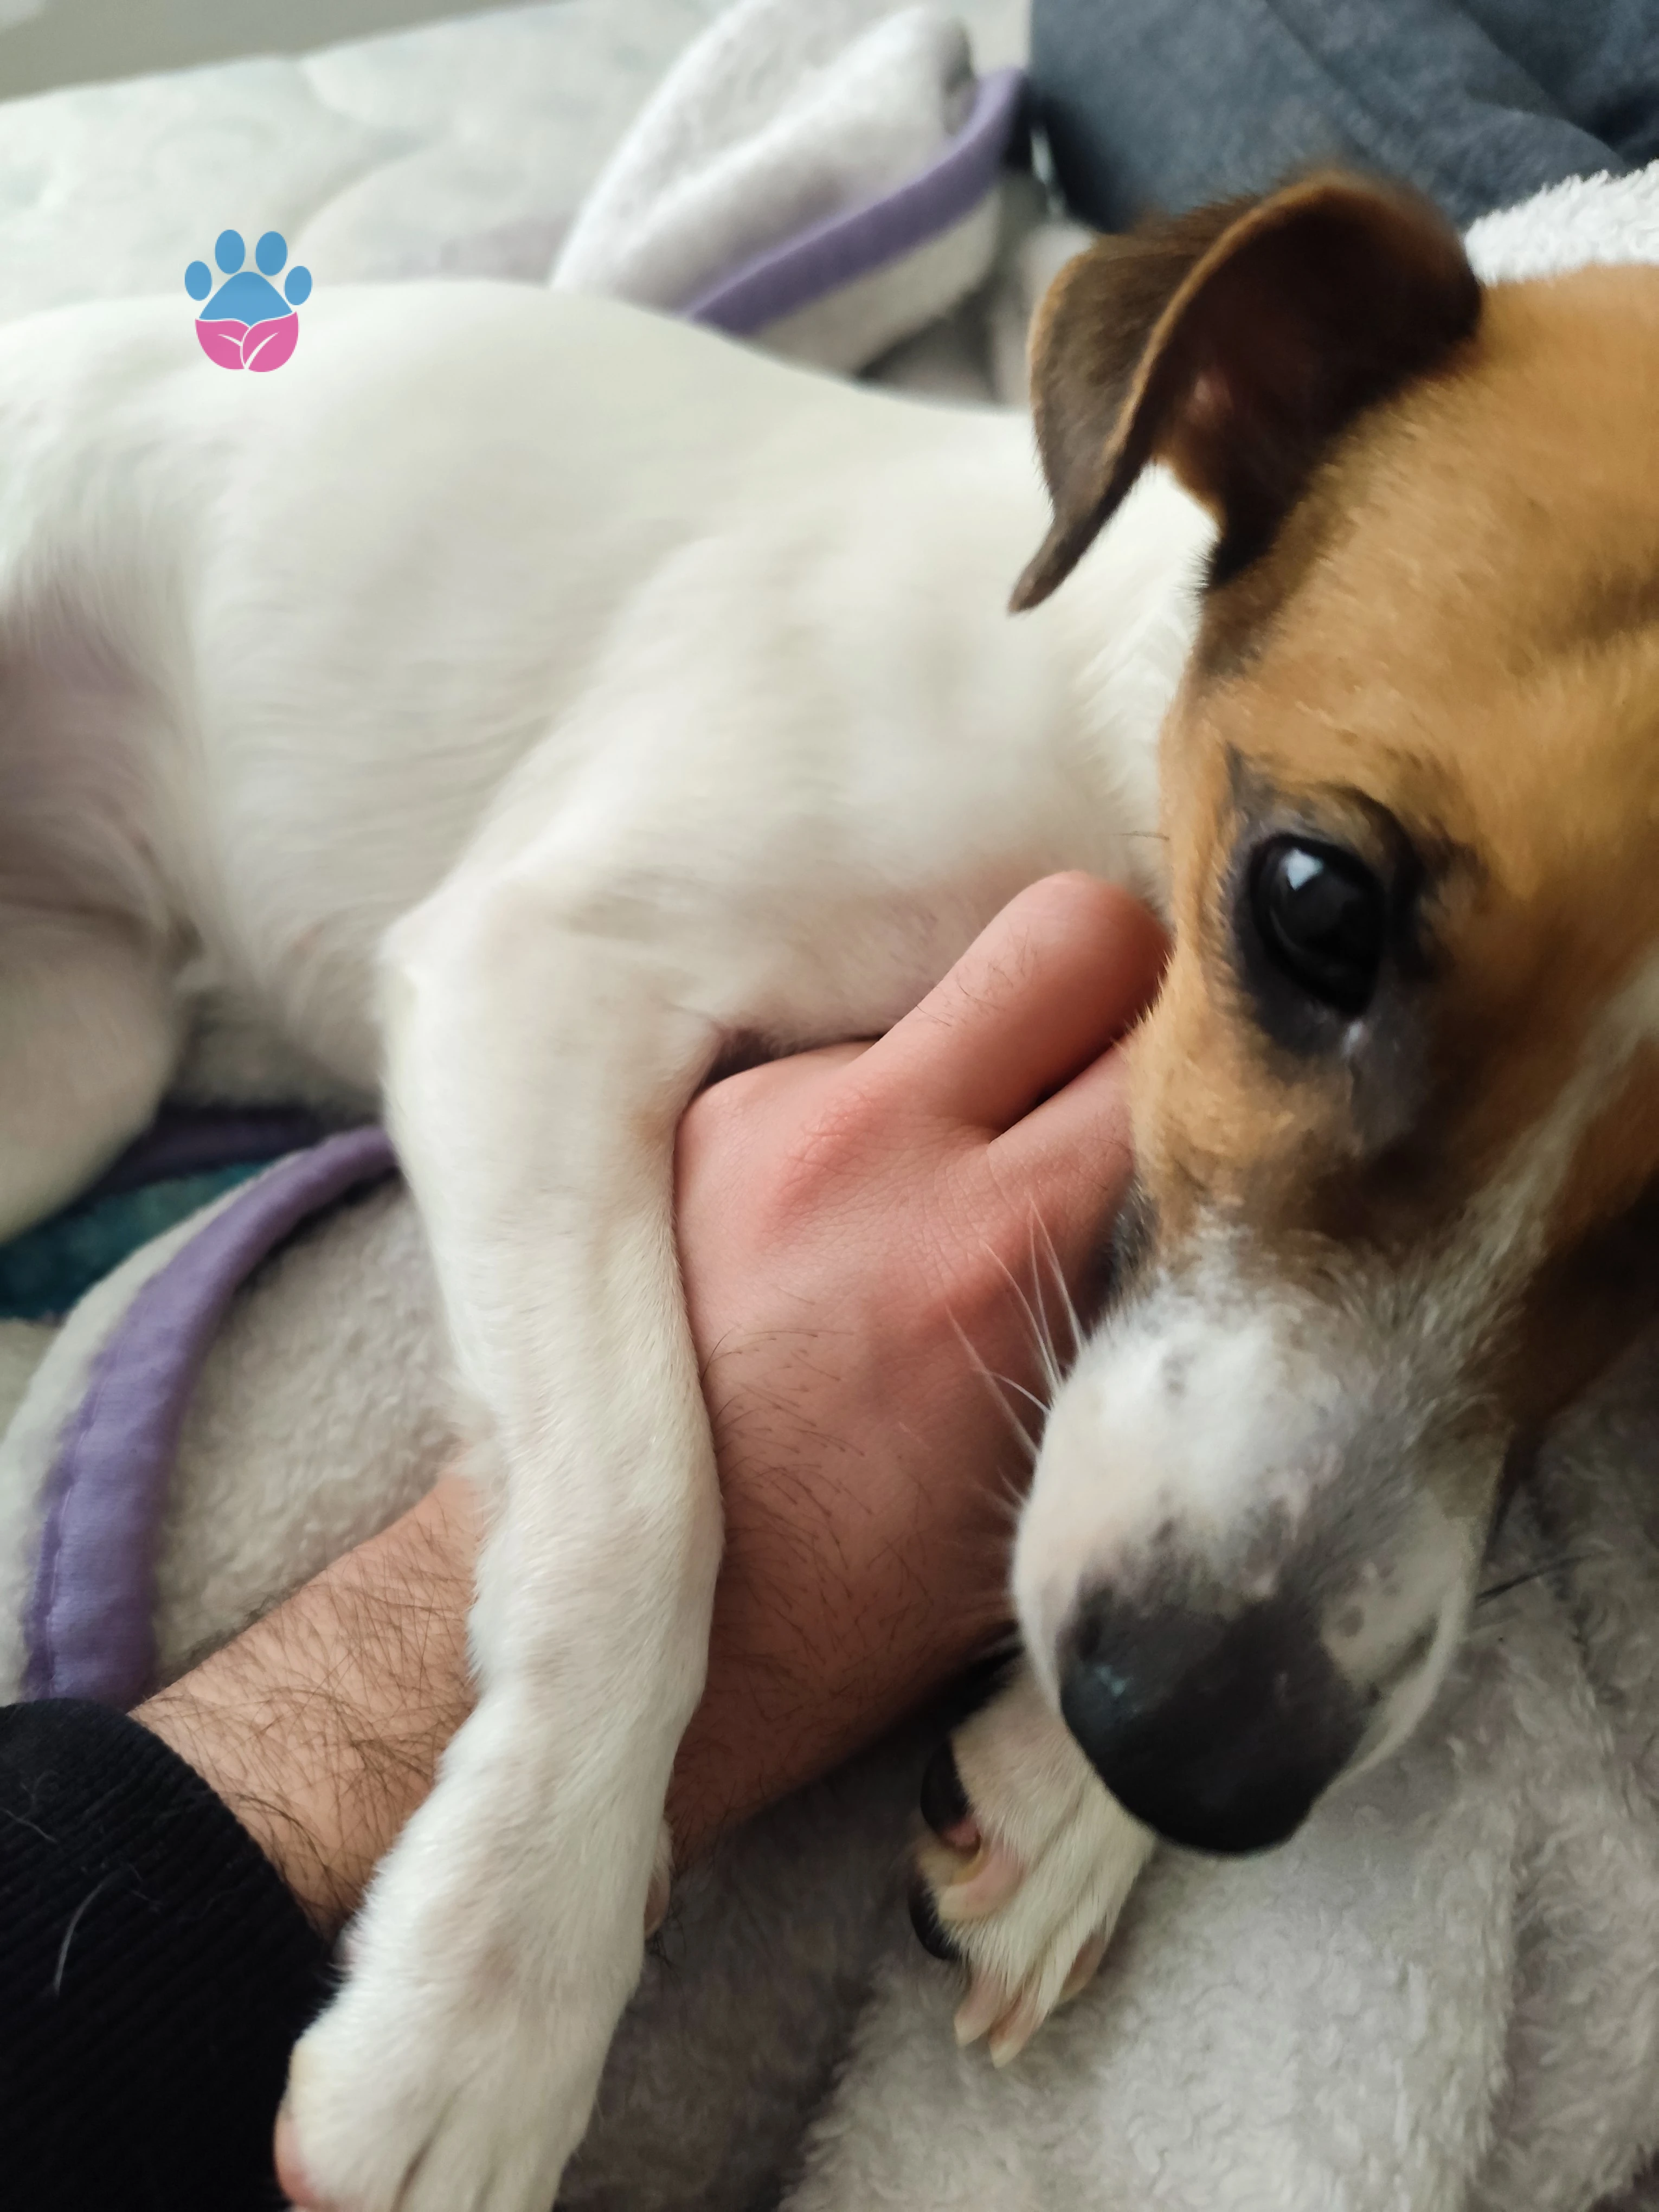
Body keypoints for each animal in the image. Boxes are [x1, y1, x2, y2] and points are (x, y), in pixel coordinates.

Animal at [4, 172, 1658, 2209]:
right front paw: (492, 1994)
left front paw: (1066, 1804)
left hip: (74, 1049)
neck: (1092, 748)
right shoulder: (537, 970)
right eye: (1313, 905)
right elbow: (648, 1506)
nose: (1191, 1758)